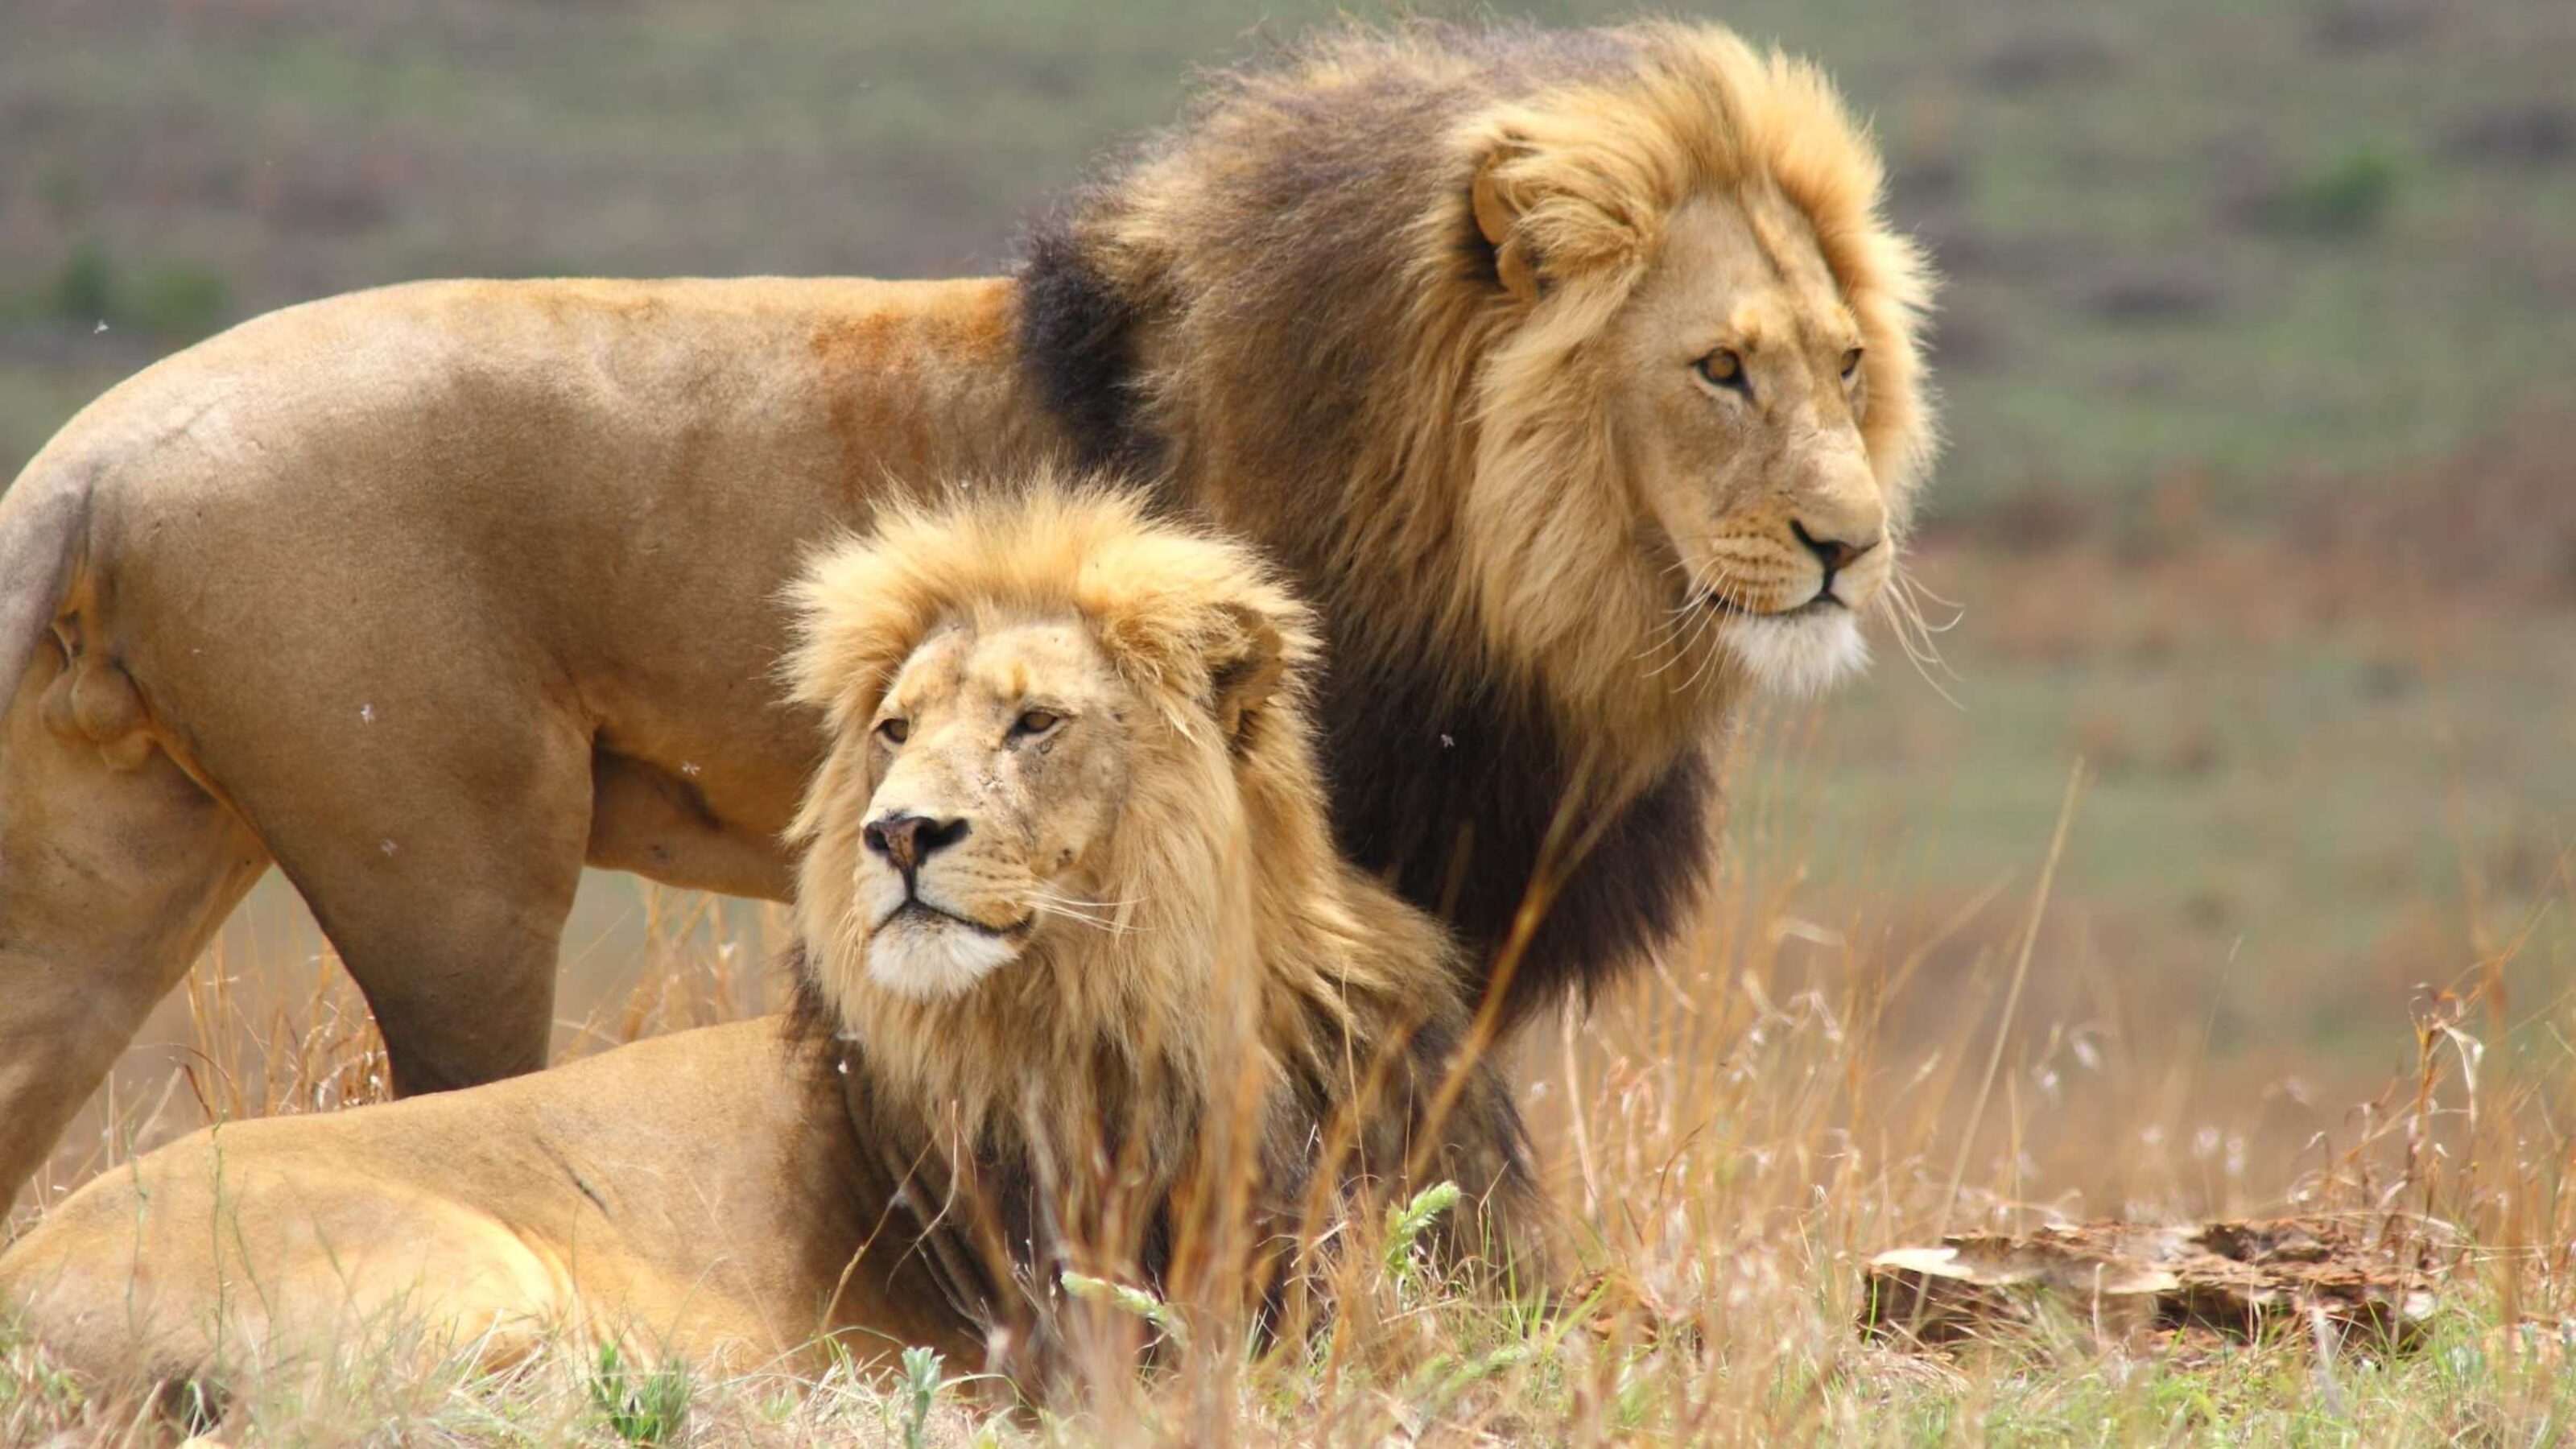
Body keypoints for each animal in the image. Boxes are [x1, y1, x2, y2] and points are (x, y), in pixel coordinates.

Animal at [0, 20, 1933, 1210]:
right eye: (1718, 371)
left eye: (1845, 363)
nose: (1851, 544)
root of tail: (92, 452)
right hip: (456, 866)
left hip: (107, 871)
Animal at [0, 488, 1535, 1402]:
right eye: (897, 731)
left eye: (1035, 722)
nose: (900, 835)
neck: (1141, 1004)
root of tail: (23, 1279)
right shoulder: (1081, 1327)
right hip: (464, 1286)